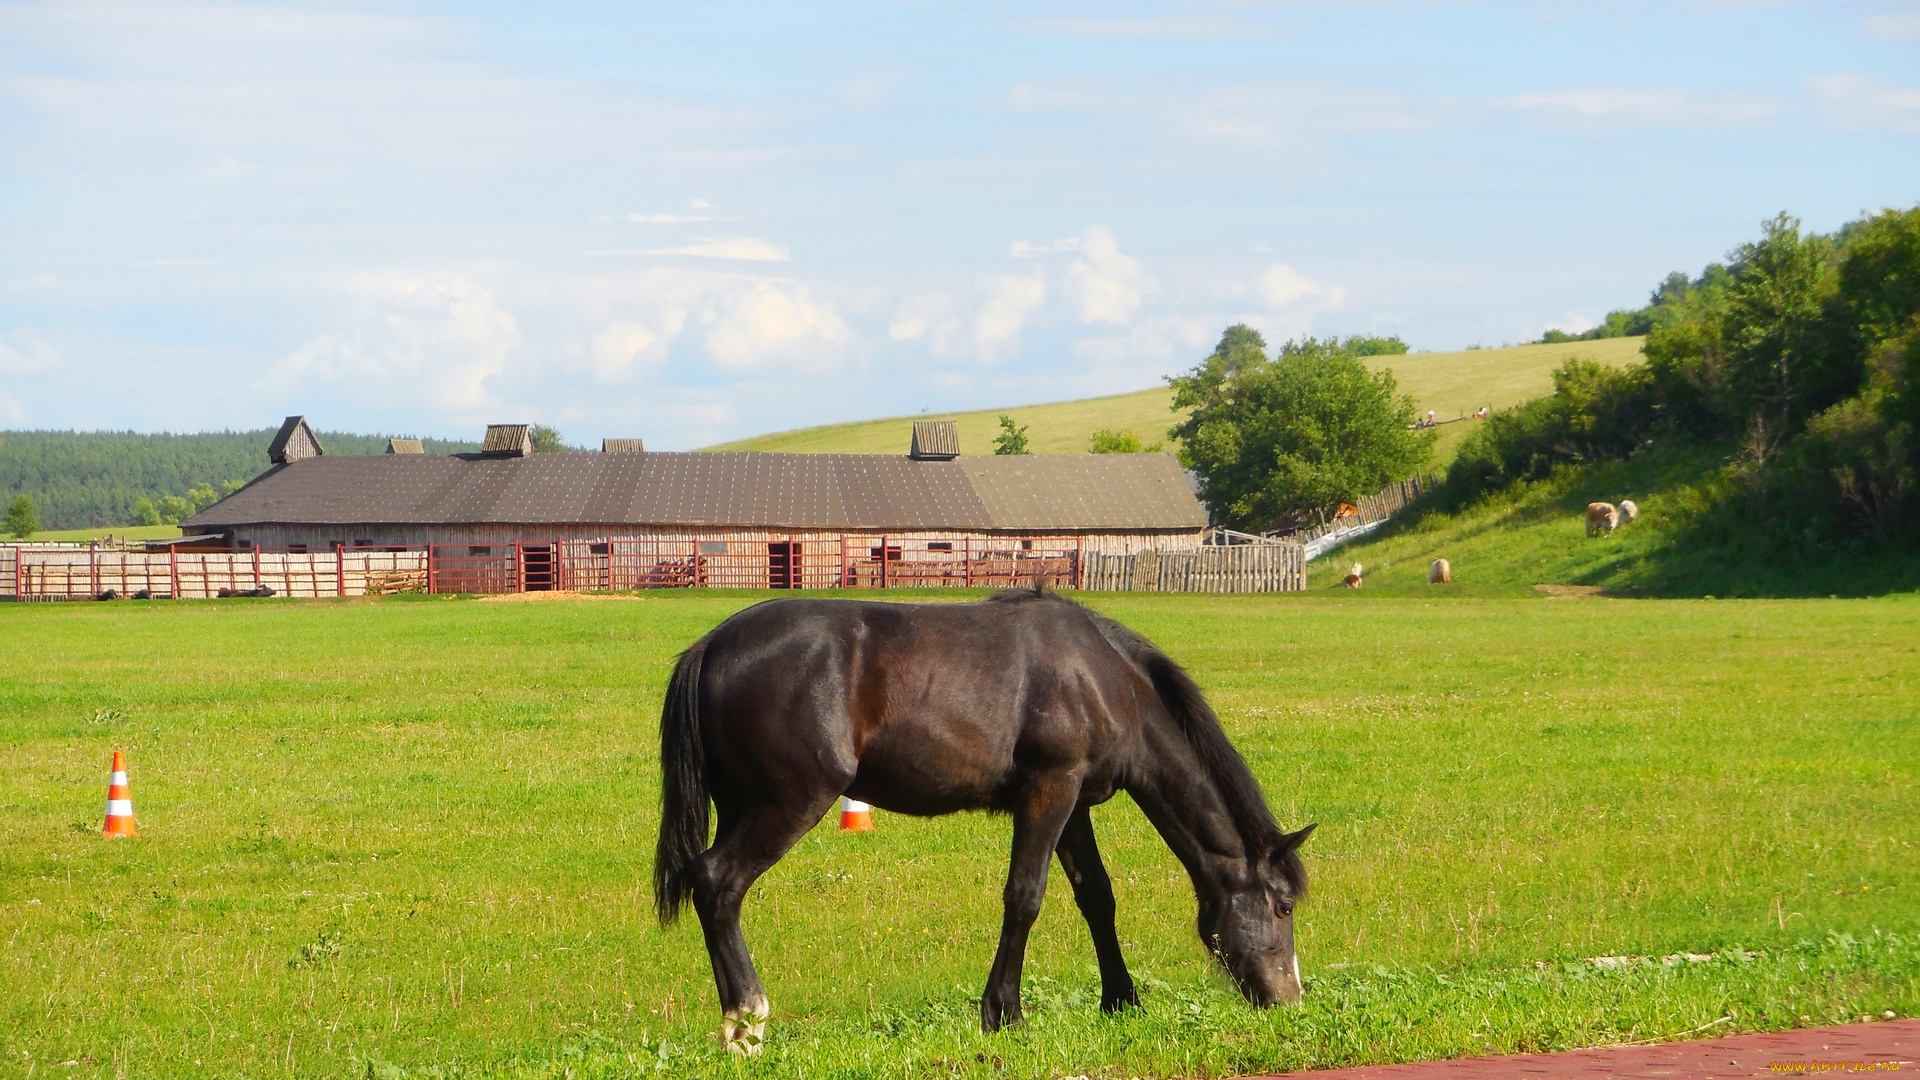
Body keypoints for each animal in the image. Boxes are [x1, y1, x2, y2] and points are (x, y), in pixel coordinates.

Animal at [652, 588, 1313, 1053]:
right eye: (1282, 907)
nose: (1290, 1000)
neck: (1104, 677)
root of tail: (711, 646)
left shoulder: (1073, 802)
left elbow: (1097, 897)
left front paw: (1121, 1000)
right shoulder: (1049, 790)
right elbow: (1025, 896)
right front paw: (1004, 1012)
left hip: (743, 805)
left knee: (713, 889)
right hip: (788, 804)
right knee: (717, 881)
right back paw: (746, 1021)